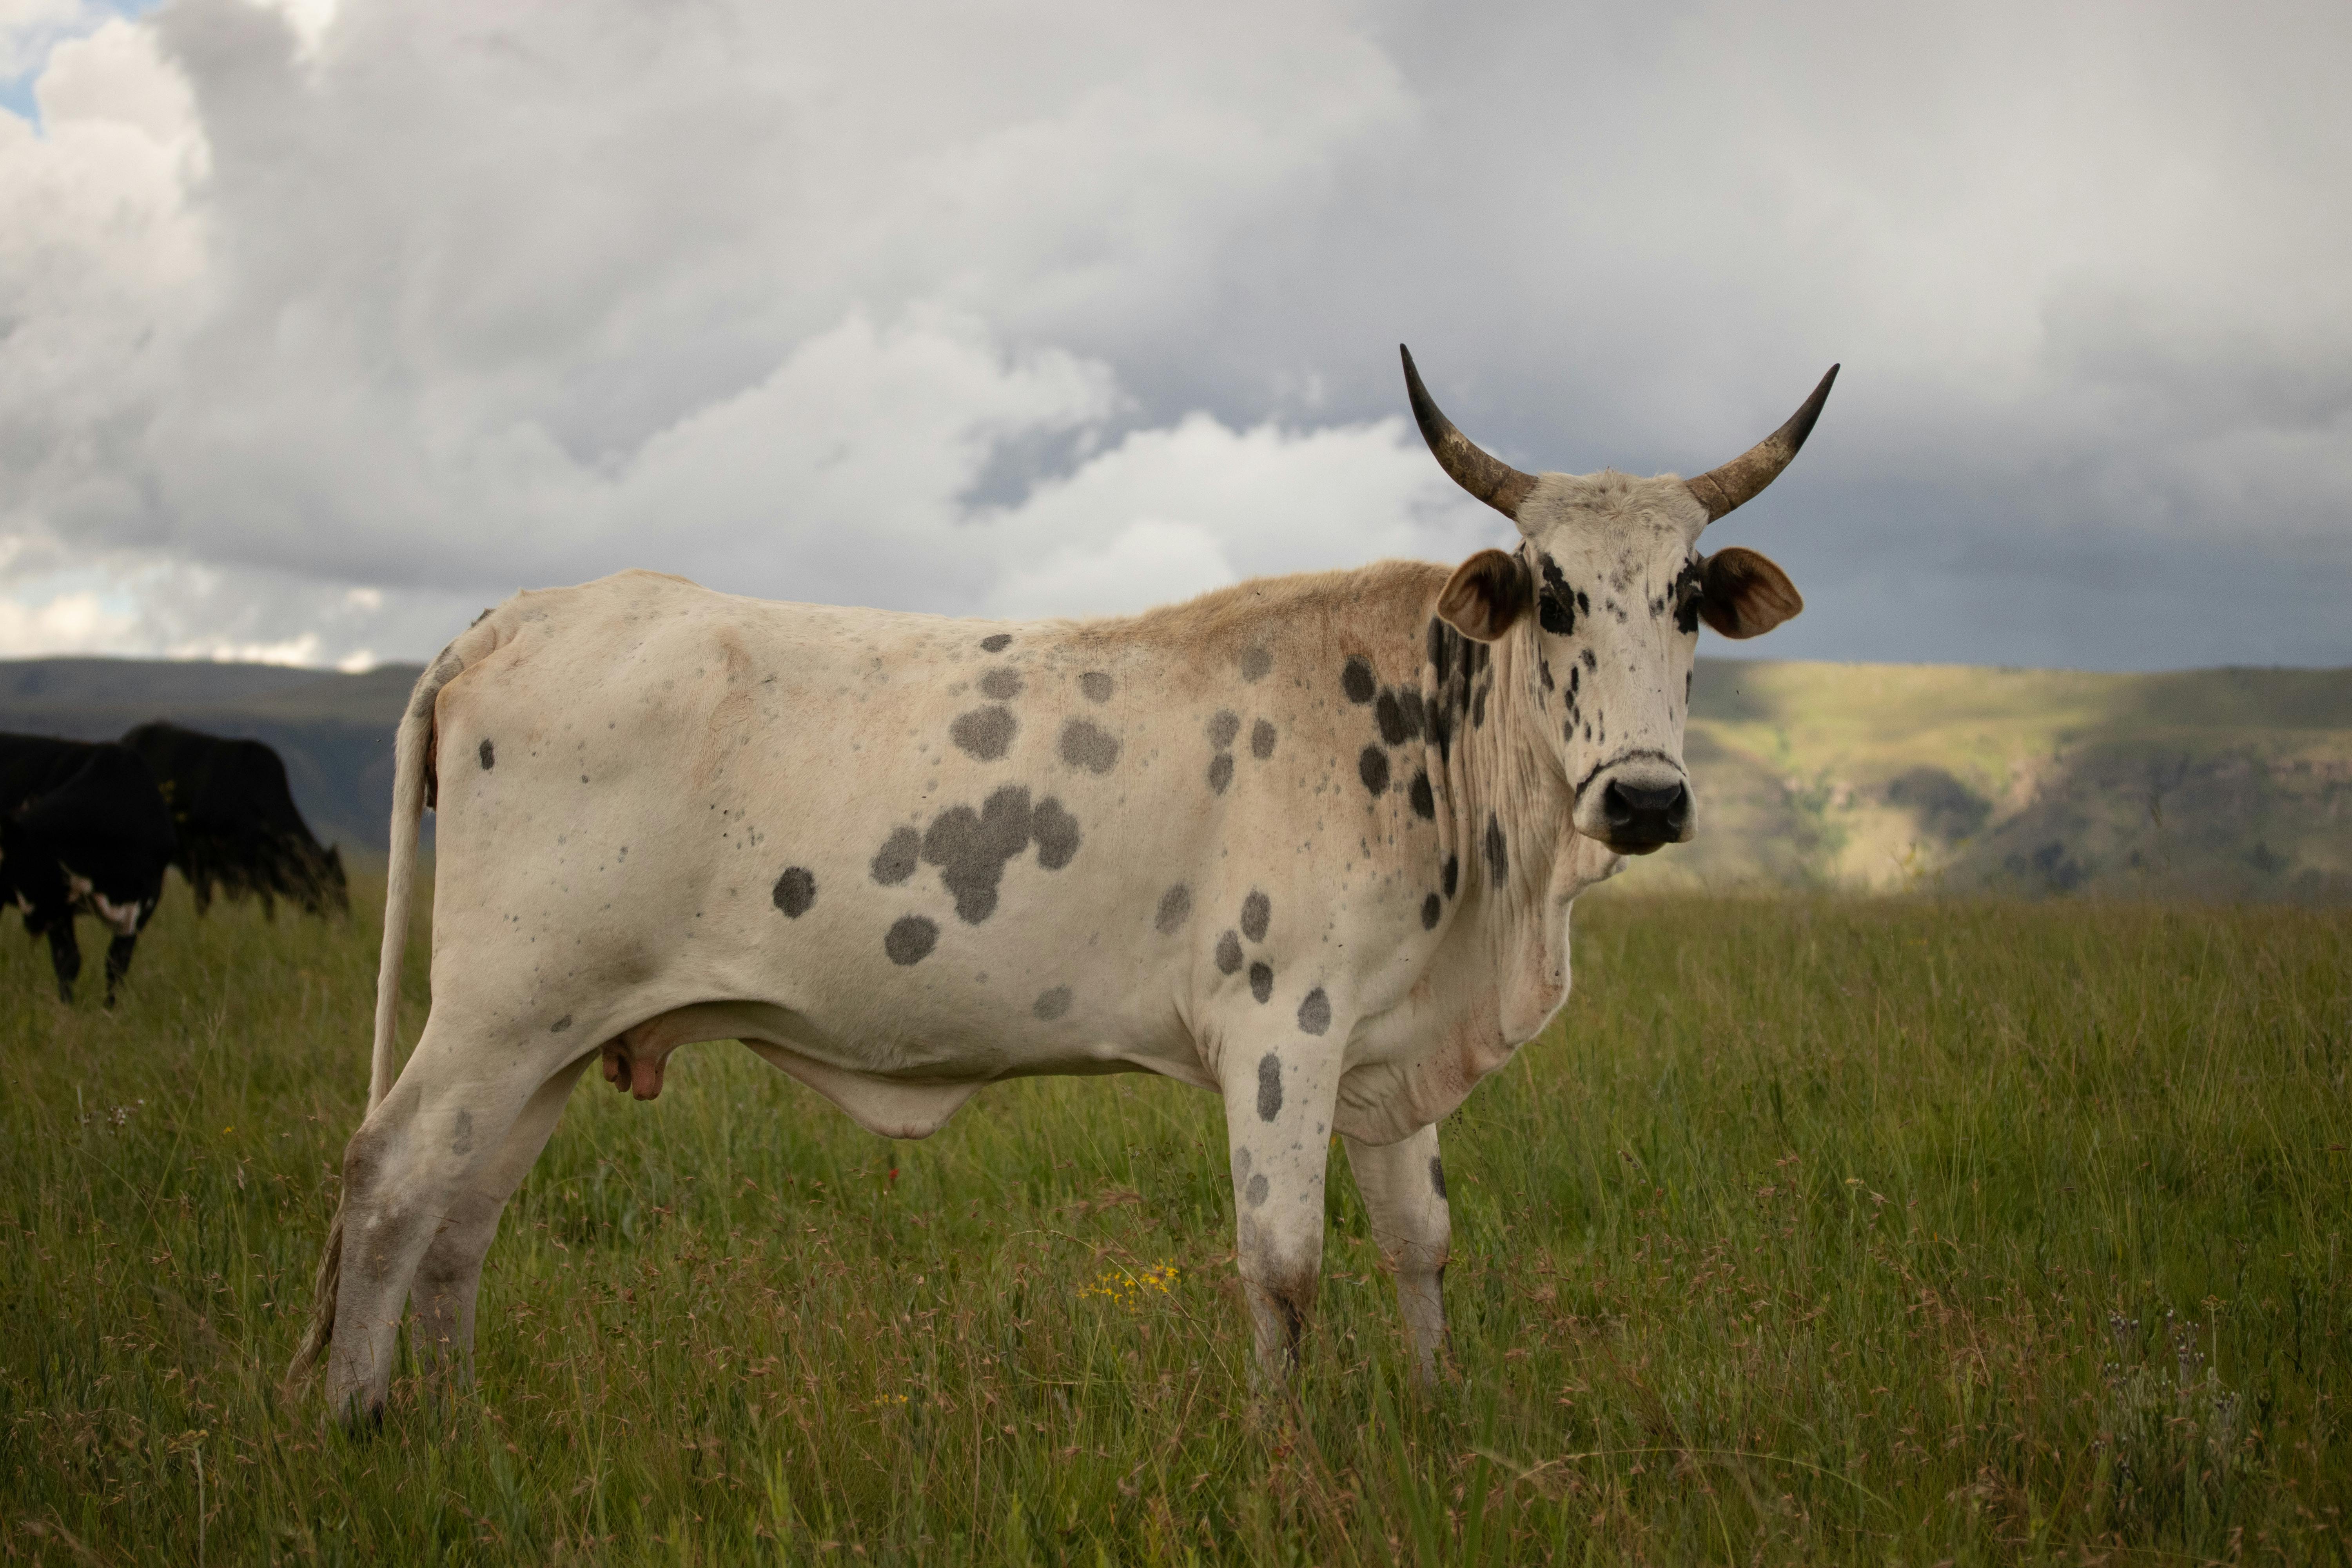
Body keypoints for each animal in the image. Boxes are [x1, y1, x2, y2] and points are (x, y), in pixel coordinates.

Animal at [0, 736, 177, 1004]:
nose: (32, 921)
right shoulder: (61, 907)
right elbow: (68, 960)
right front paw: (67, 1007)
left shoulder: (146, 901)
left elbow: (117, 963)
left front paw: (110, 1009)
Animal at [120, 722, 349, 920]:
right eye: (327, 881)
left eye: (343, 882)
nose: (345, 919)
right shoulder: (220, 866)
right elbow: (215, 903)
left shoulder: (256, 875)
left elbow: (268, 909)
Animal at [293, 348, 1834, 1423]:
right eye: (1556, 593)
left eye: (1688, 598)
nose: (1646, 797)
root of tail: (521, 615)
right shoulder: (1280, 1030)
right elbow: (1283, 1264)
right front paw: (1281, 1458)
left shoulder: (1384, 1055)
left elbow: (1421, 1246)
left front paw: (1436, 1415)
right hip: (498, 1009)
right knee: (390, 1177)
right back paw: (361, 1424)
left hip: (555, 1035)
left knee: (462, 1218)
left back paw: (462, 1424)